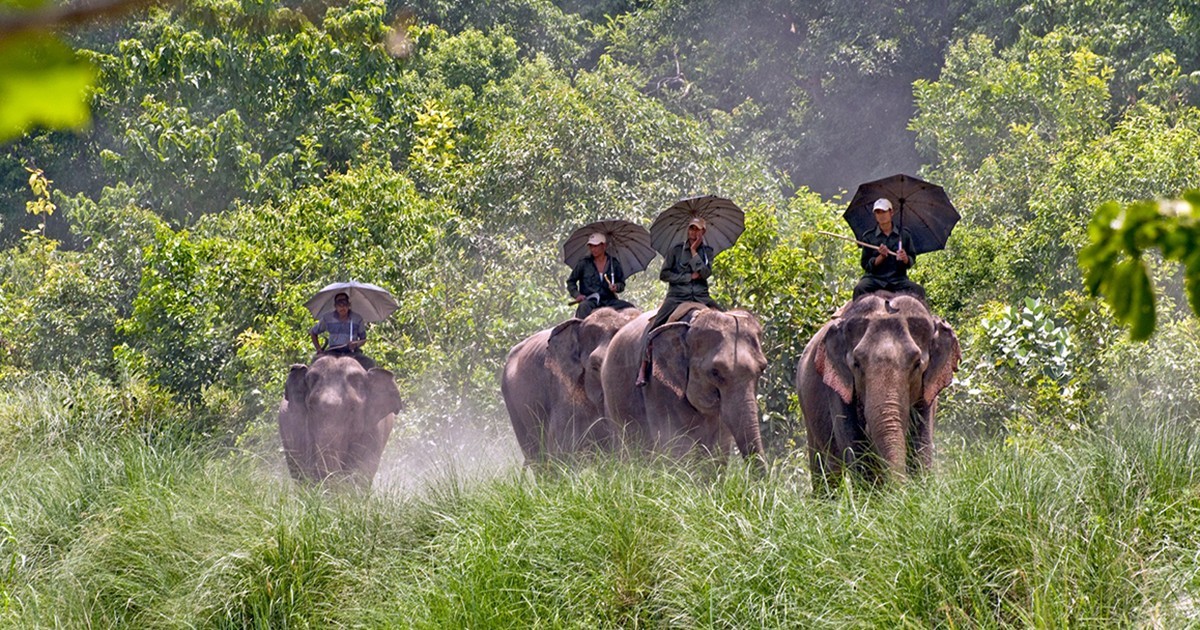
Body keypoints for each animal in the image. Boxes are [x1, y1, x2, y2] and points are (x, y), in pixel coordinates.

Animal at [796, 292, 964, 489]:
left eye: (917, 364)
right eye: (856, 364)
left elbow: (921, 443)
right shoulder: (837, 391)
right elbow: (855, 448)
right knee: (825, 469)